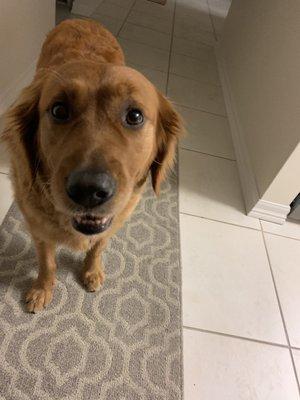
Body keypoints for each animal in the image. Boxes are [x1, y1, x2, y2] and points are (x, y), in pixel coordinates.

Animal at [1, 18, 183, 312]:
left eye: (134, 115)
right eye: (59, 110)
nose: (88, 190)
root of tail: (81, 18)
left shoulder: (114, 221)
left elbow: (98, 246)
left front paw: (92, 271)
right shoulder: (38, 230)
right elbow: (47, 263)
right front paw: (42, 289)